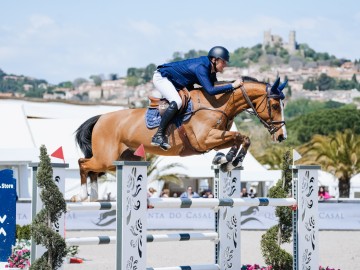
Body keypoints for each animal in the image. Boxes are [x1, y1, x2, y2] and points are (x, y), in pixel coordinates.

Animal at [72, 77, 286, 201]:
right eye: (275, 105)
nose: (282, 136)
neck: (217, 103)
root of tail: (100, 117)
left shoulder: (214, 139)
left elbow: (242, 138)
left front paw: (228, 160)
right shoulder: (204, 139)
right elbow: (240, 136)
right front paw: (231, 160)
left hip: (123, 158)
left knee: (92, 170)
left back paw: (93, 195)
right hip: (106, 158)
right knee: (83, 163)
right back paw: (83, 194)